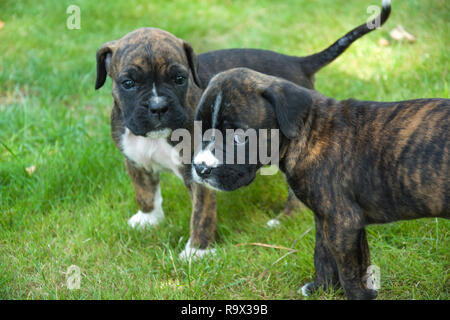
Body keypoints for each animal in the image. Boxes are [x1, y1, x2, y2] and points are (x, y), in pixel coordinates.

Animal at [193, 68, 450, 300]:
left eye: (239, 137)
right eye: (200, 129)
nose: (200, 168)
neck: (308, 133)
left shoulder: (343, 221)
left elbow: (349, 271)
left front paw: (358, 297)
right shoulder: (329, 219)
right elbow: (325, 256)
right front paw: (322, 290)